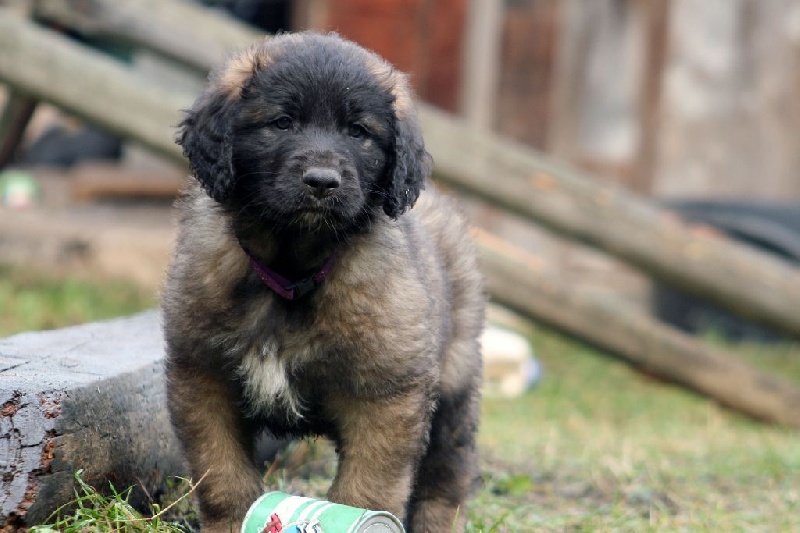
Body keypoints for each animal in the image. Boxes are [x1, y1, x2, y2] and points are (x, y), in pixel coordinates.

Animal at [162, 32, 485, 532]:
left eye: (358, 132)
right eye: (282, 122)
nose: (322, 181)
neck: (293, 272)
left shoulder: (386, 395)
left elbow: (366, 490)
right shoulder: (203, 376)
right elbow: (221, 476)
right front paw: (232, 521)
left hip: (454, 383)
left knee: (446, 474)